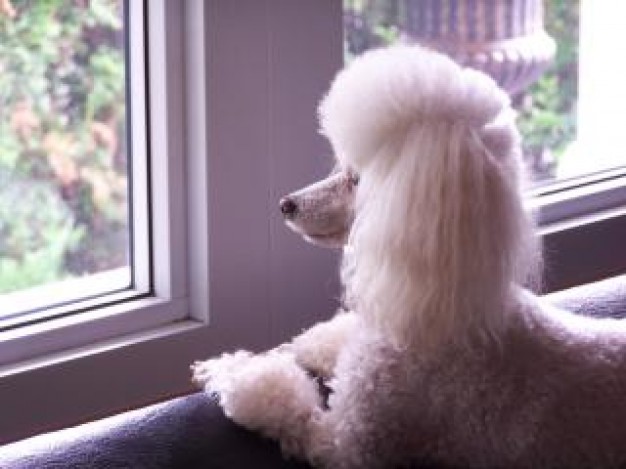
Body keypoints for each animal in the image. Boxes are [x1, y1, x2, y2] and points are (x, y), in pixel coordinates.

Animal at [193, 44, 624, 468]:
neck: (448, 305)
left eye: (357, 180)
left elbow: (284, 401)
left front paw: (234, 370)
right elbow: (327, 338)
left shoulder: (349, 440)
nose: (286, 205)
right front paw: (287, 349)